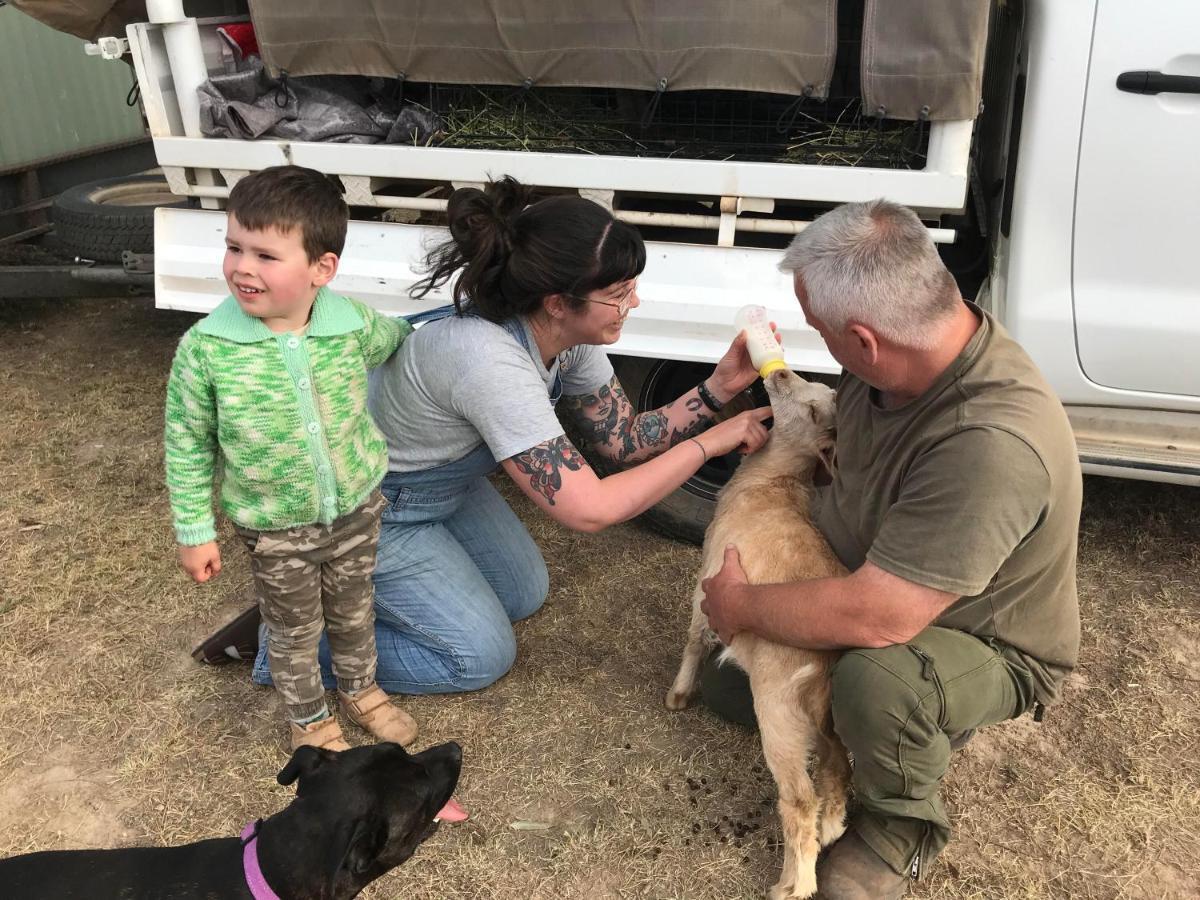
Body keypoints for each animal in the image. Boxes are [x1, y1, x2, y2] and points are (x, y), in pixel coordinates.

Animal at [667, 367, 854, 900]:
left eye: (813, 409)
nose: (782, 371)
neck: (772, 483)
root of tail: (827, 668)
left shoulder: (709, 580)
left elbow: (695, 637)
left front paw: (678, 694)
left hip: (779, 711)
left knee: (799, 800)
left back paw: (794, 884)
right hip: (828, 718)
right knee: (837, 768)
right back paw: (833, 828)